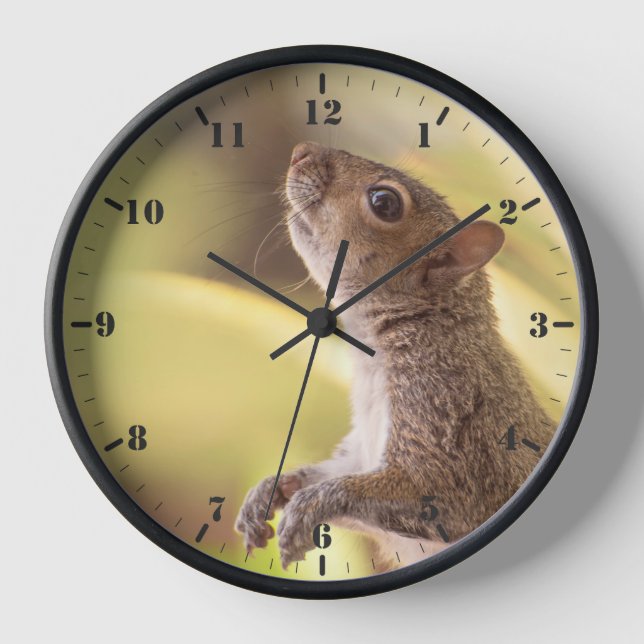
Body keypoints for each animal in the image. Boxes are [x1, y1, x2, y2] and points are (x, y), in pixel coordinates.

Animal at [235, 141, 554, 571]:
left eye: (384, 203)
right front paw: (273, 488)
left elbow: (432, 492)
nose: (301, 152)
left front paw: (307, 506)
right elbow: (336, 473)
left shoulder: (444, 408)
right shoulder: (361, 454)